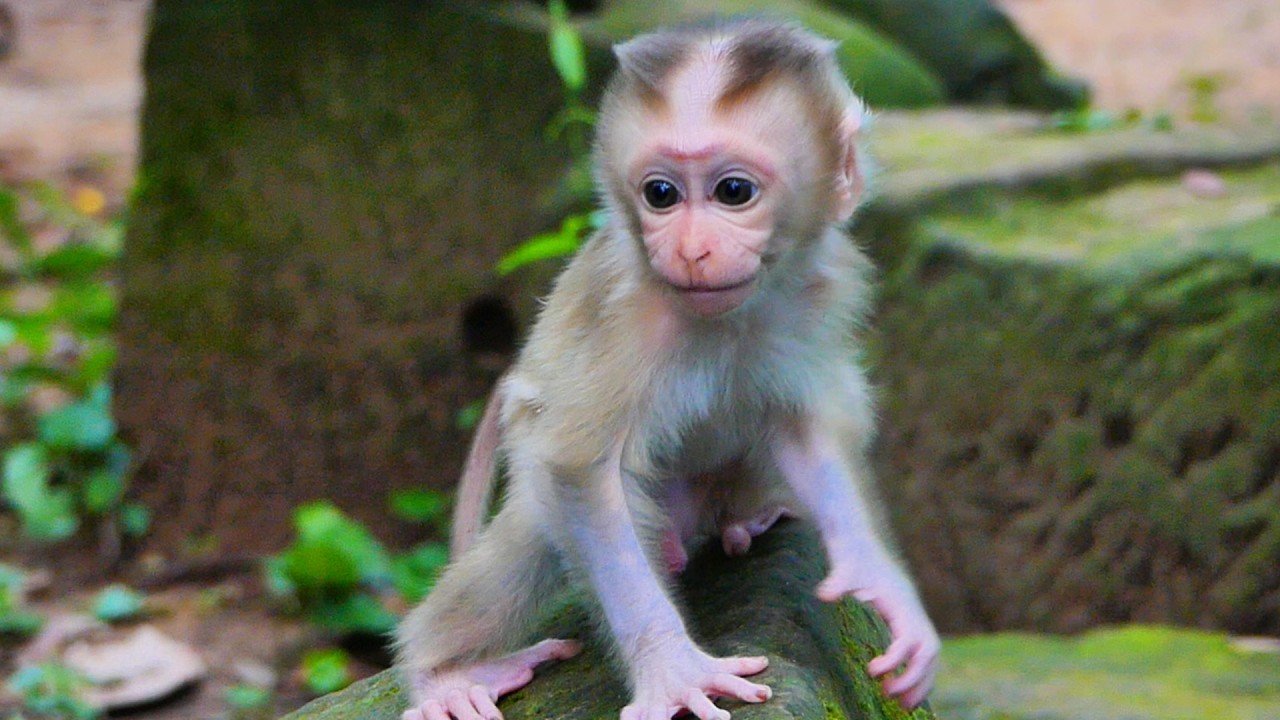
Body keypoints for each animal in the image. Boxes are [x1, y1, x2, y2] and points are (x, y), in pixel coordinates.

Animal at [397, 19, 940, 720]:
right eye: (661, 194)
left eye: (733, 191)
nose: (690, 249)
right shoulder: (630, 321)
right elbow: (580, 470)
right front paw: (672, 668)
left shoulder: (820, 289)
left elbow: (805, 430)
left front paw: (879, 580)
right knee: (535, 530)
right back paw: (444, 672)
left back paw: (747, 520)